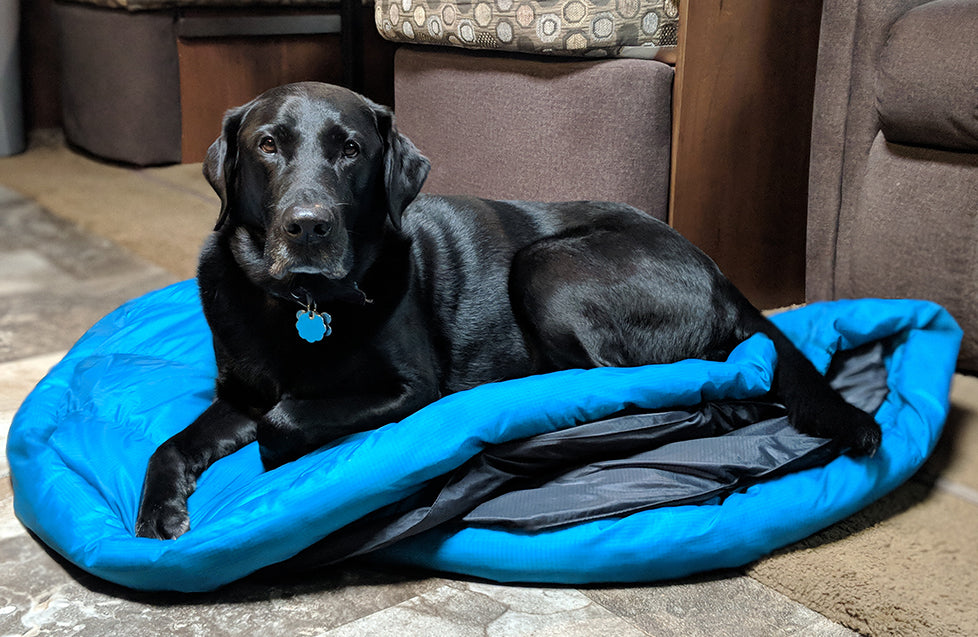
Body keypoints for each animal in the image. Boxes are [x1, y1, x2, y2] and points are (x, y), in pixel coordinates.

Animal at [135, 79, 876, 536]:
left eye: (349, 149)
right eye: (267, 145)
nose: (309, 226)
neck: (304, 305)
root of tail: (718, 269)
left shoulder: (410, 390)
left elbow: (283, 420)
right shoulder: (239, 391)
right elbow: (173, 442)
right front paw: (159, 510)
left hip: (545, 266)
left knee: (642, 387)